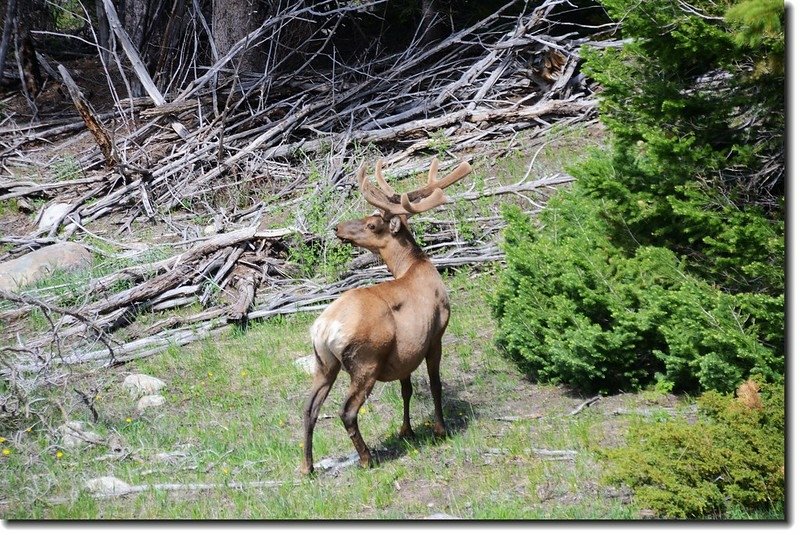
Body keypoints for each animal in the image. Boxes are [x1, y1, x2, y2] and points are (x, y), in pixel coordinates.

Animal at [304, 157, 472, 476]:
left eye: (371, 223)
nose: (338, 228)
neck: (415, 266)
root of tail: (324, 329)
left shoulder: (407, 350)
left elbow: (406, 389)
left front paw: (407, 430)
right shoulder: (436, 334)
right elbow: (435, 384)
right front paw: (440, 429)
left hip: (324, 363)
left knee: (308, 409)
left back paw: (307, 467)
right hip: (365, 361)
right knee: (346, 411)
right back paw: (366, 458)